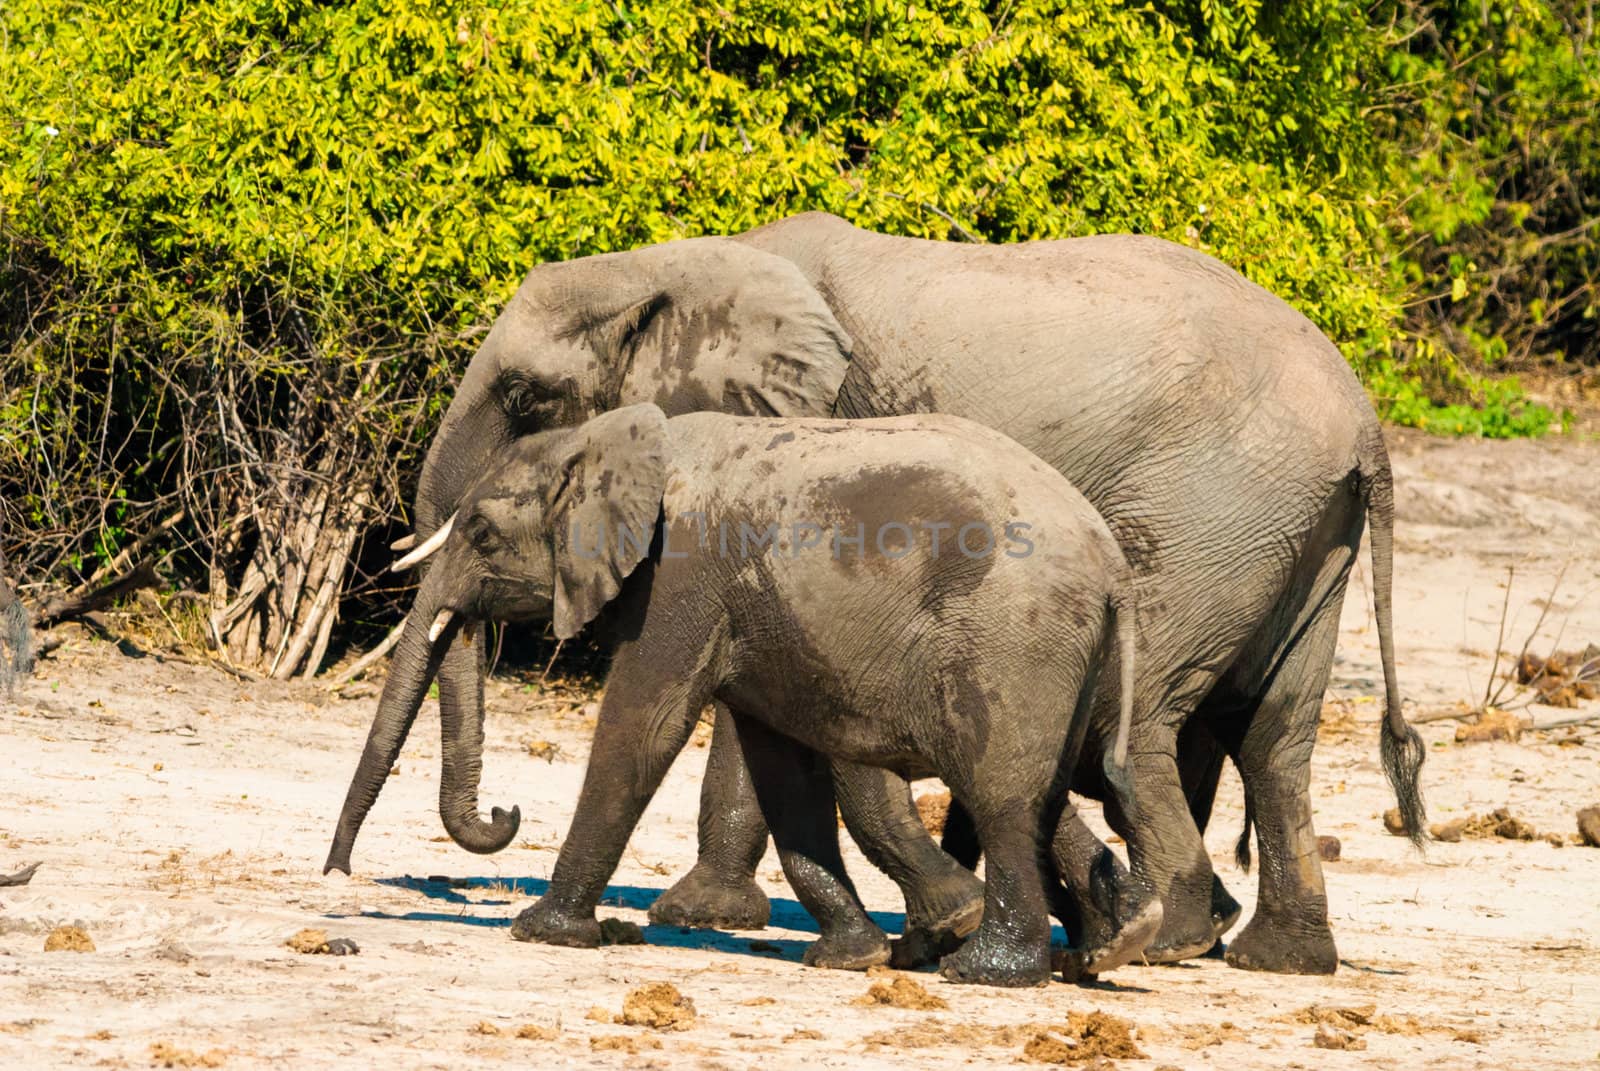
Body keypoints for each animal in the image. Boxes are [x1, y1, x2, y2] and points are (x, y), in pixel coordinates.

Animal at [331, 403, 1145, 986]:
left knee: (1000, 793)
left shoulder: (681, 573)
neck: (607, 439)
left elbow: (645, 726)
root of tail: (1113, 566)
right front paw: (849, 957)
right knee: (1040, 791)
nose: (335, 875)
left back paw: (988, 971)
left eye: (480, 533)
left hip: (1012, 637)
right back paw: (1111, 944)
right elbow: (780, 765)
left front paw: (544, 930)